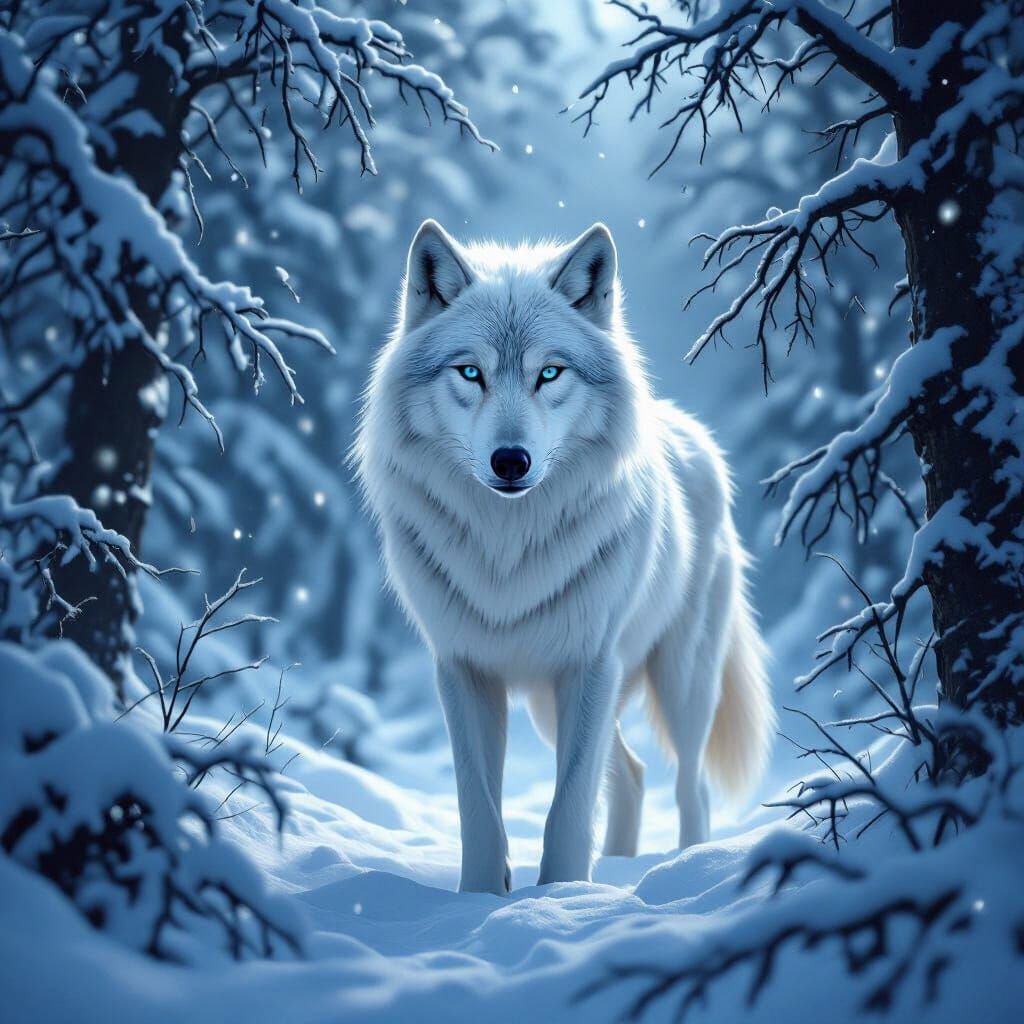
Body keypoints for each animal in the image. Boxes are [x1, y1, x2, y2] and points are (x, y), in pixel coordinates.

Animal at [354, 220, 775, 894]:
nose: (510, 461)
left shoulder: (590, 664)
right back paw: (620, 869)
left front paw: (558, 894)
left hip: (680, 682)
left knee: (691, 788)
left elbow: (570, 804)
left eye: (549, 374)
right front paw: (482, 897)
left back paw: (684, 868)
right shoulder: (462, 668)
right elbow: (479, 806)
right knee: (632, 773)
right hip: (551, 707)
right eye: (470, 373)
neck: (506, 550)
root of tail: (690, 431)